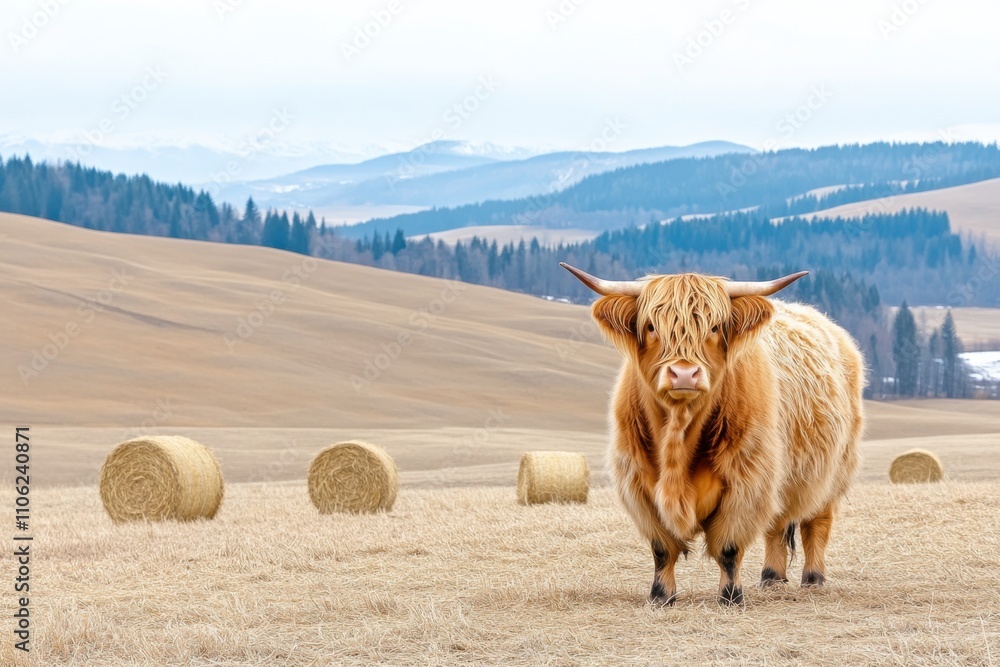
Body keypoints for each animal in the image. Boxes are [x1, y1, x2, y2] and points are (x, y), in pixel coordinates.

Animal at [561, 263, 864, 606]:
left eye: (716, 327)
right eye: (651, 326)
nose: (684, 374)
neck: (679, 435)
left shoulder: (747, 480)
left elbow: (729, 547)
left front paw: (731, 596)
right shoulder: (639, 483)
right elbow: (662, 549)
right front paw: (661, 596)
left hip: (831, 473)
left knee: (816, 523)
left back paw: (813, 579)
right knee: (776, 524)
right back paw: (772, 578)